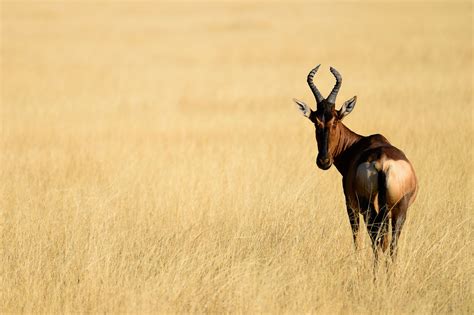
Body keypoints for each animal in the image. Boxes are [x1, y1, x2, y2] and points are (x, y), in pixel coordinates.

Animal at [292, 65, 418, 260]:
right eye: (315, 122)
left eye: (335, 120)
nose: (323, 161)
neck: (358, 144)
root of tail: (383, 162)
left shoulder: (350, 205)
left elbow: (356, 237)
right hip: (398, 210)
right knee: (390, 245)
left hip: (369, 208)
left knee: (376, 240)